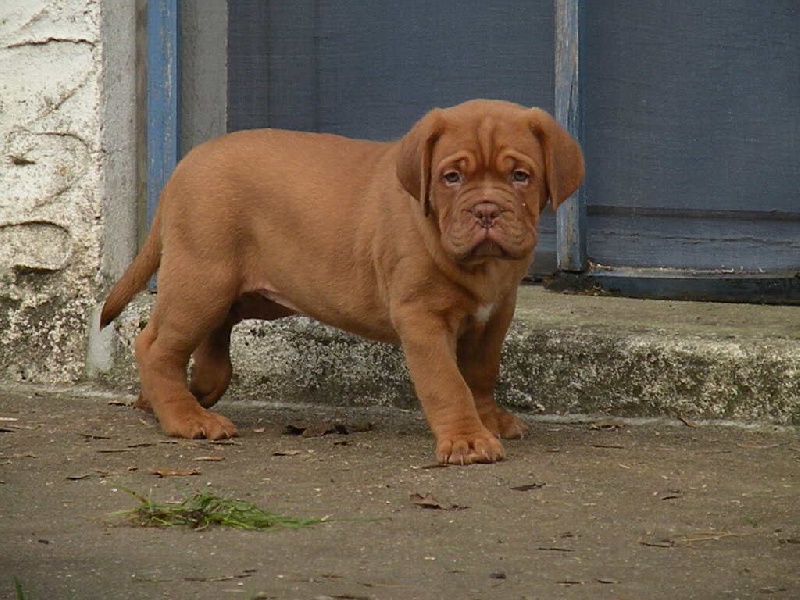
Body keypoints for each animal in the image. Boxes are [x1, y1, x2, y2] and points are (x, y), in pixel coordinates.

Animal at [103, 99, 584, 464]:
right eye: (452, 177)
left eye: (520, 176)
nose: (486, 210)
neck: (479, 267)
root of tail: (186, 165)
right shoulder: (421, 317)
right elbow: (447, 382)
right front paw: (468, 438)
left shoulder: (495, 314)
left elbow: (481, 373)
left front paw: (489, 419)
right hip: (202, 278)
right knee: (157, 345)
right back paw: (185, 418)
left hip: (249, 292)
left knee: (212, 333)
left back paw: (179, 395)